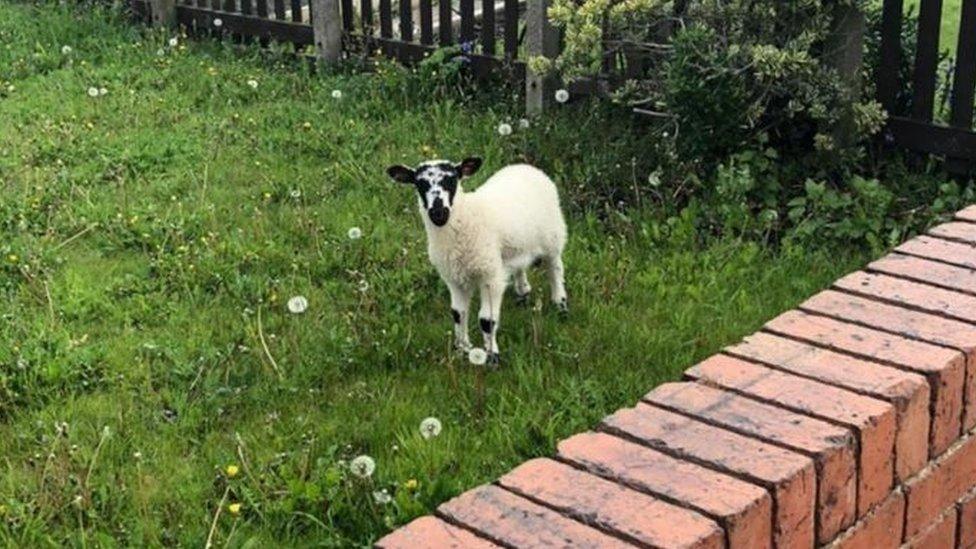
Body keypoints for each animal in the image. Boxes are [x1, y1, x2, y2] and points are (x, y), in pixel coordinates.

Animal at [386, 156, 568, 366]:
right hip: (515, 246)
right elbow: (458, 313)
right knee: (519, 266)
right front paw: (462, 349)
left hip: (552, 236)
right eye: (419, 184)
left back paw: (561, 304)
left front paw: (492, 357)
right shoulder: (454, 278)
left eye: (452, 180)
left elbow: (486, 320)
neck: (466, 217)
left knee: (555, 269)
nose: (438, 213)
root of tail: (525, 167)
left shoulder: (490, 277)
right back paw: (523, 293)